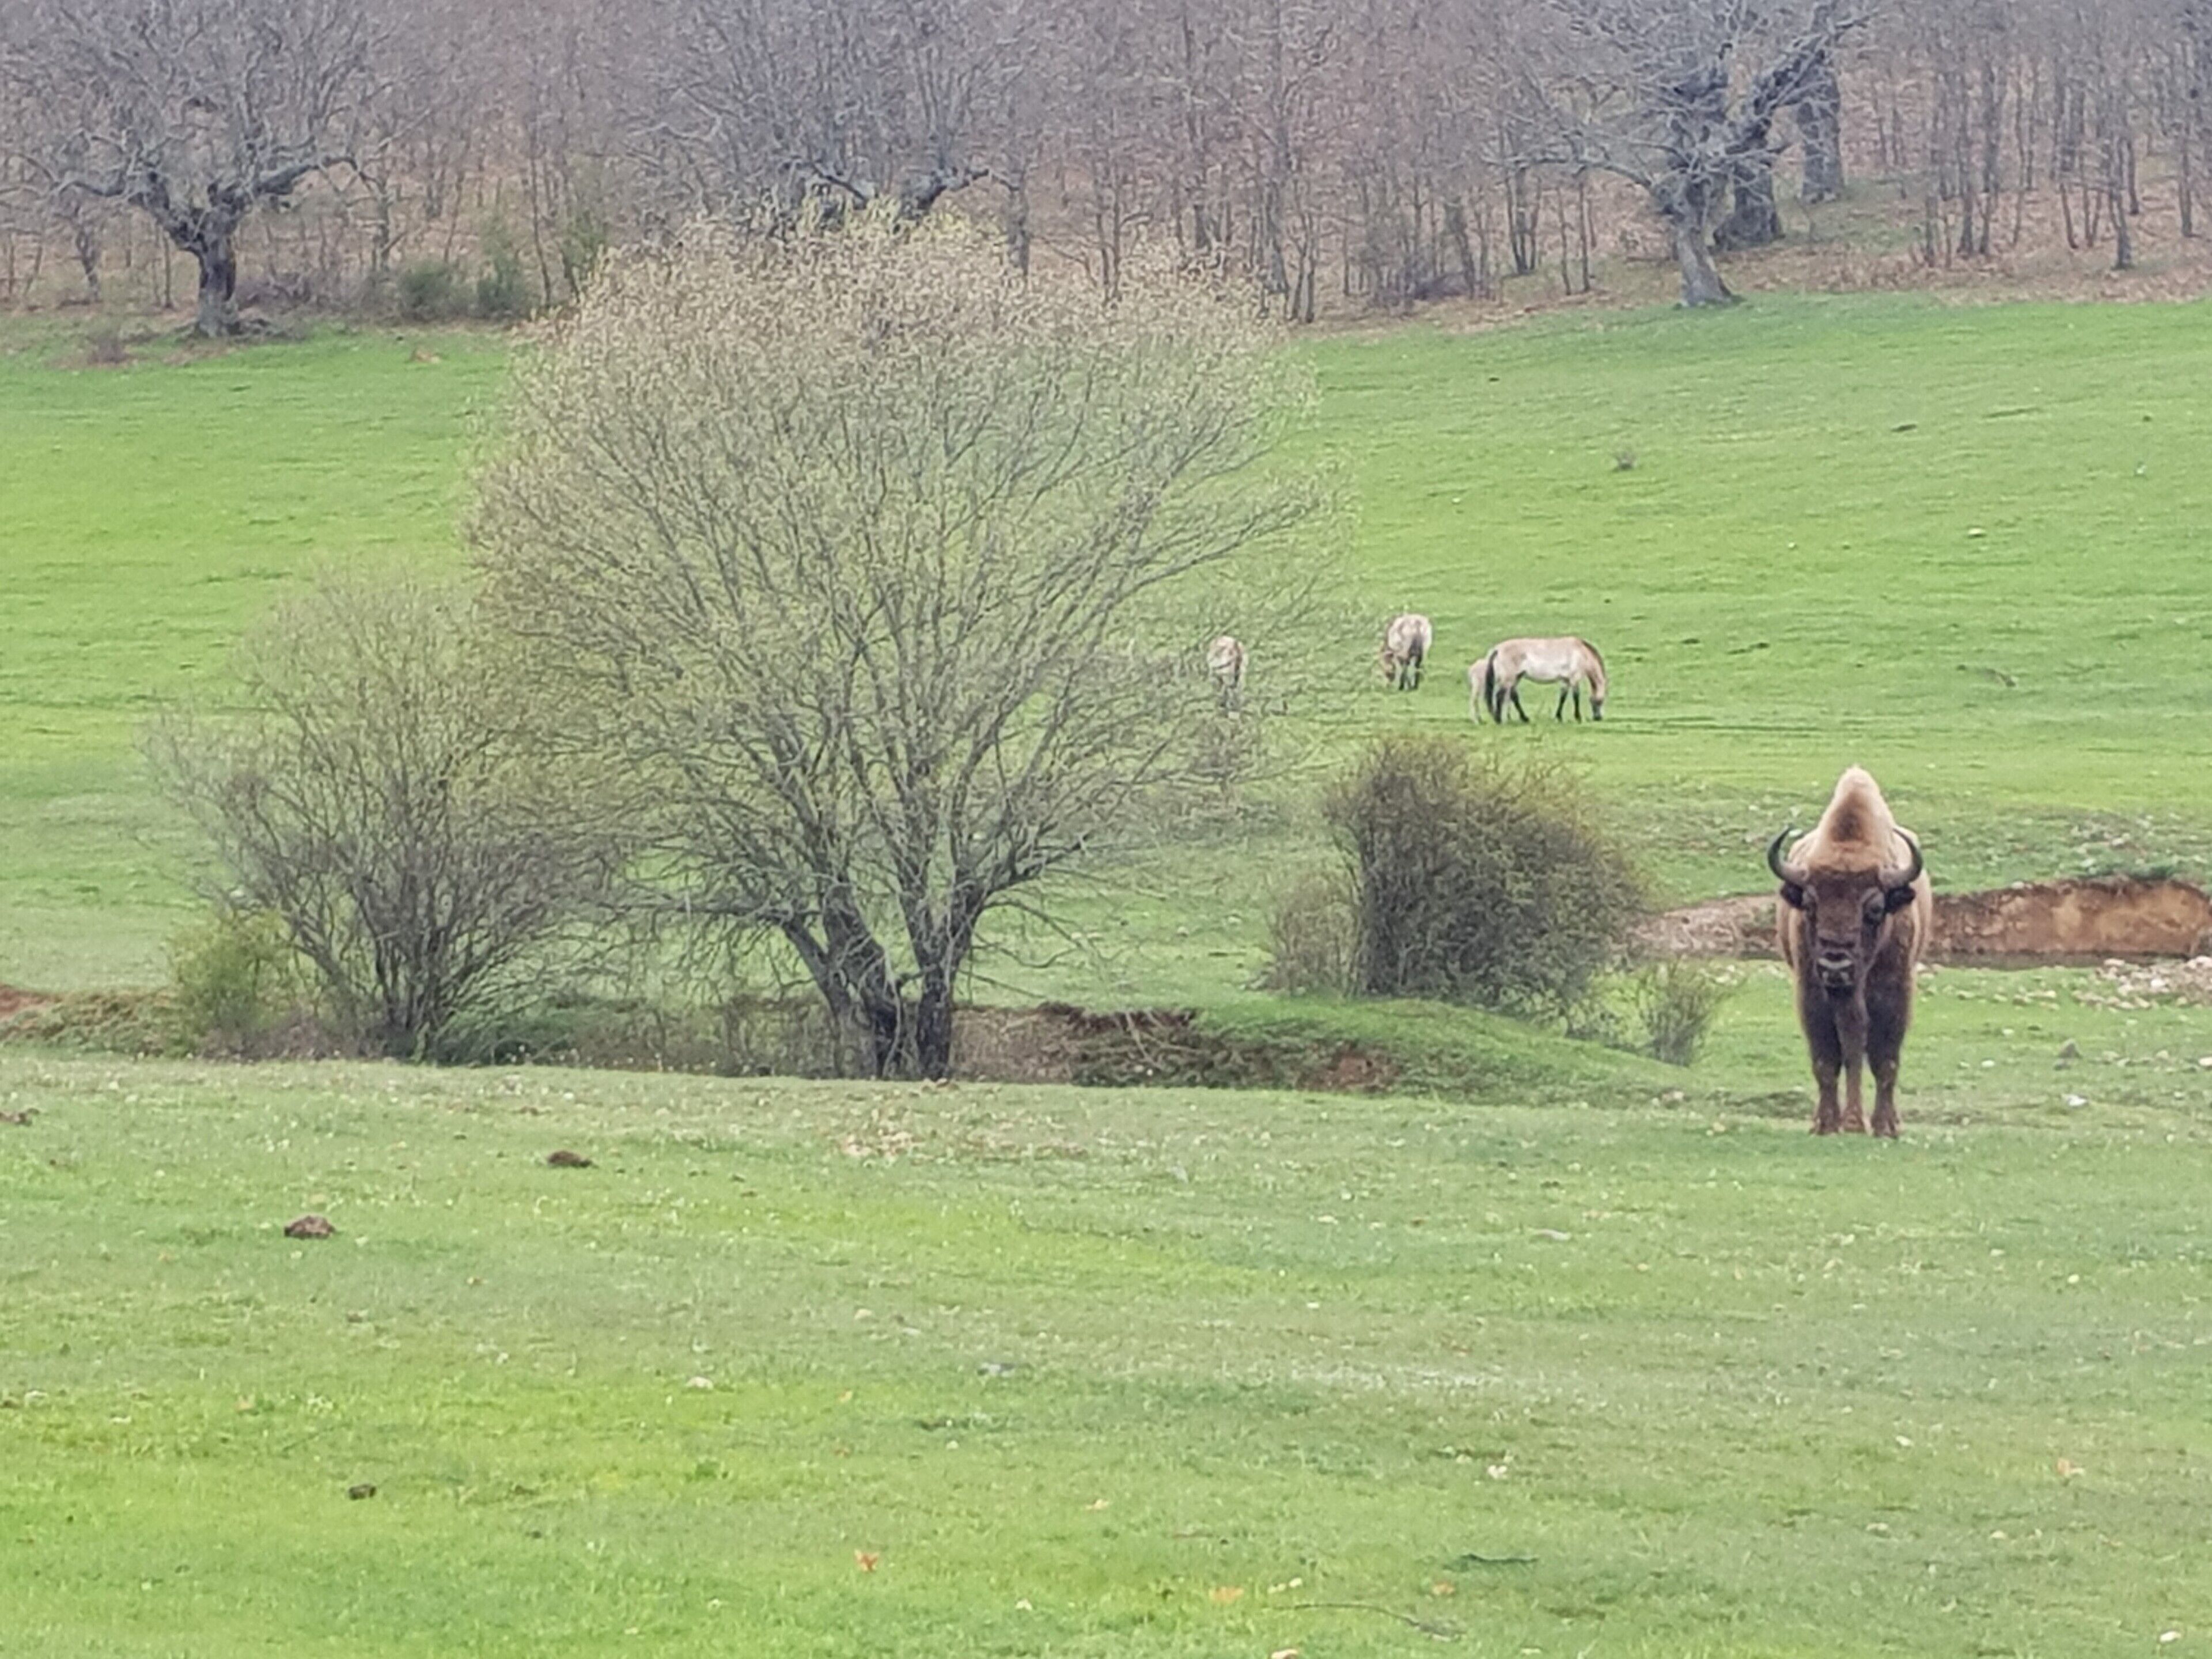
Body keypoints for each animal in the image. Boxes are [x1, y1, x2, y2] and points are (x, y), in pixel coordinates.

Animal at [1380, 613, 1433, 691]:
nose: (1387, 686)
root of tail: (1416, 623)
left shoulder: (1398, 655)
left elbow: (1402, 668)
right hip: (1425, 648)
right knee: (1418, 665)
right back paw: (1415, 686)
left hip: (1406, 650)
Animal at [1481, 636, 1607, 722]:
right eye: (1601, 701)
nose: (1598, 718)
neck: (1581, 653)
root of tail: (1498, 649)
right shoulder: (1574, 679)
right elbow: (1576, 697)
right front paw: (1578, 717)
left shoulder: (1565, 680)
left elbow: (1563, 697)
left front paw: (1559, 716)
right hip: (1508, 679)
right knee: (1500, 696)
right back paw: (1498, 719)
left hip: (1516, 678)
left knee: (1513, 696)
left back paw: (1525, 718)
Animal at [1768, 766, 1932, 1138]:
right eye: (1810, 904)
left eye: (1875, 908)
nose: (1835, 965)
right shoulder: (1813, 994)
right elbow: (1830, 1058)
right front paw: (1831, 1124)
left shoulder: (1894, 992)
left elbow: (1884, 1059)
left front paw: (1882, 1126)